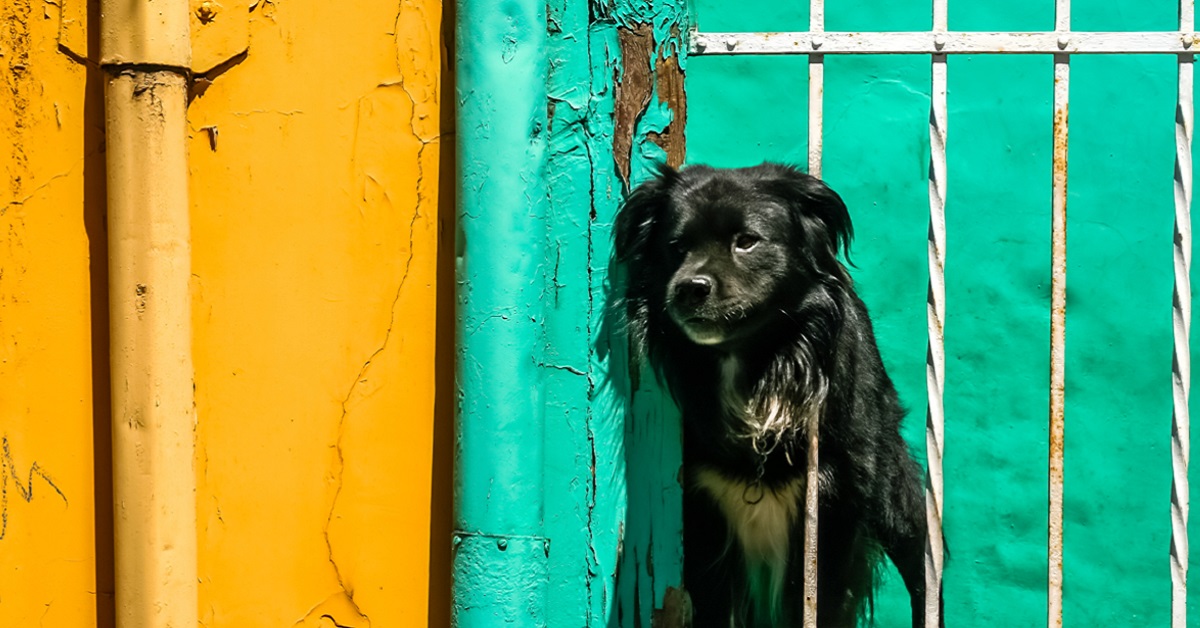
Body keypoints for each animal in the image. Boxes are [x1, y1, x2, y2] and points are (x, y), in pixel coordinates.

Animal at [614, 164, 931, 624]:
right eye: (676, 247)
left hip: (894, 497)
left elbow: (819, 602)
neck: (755, 368)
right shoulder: (702, 518)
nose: (689, 288)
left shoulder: (833, 511)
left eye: (746, 241)